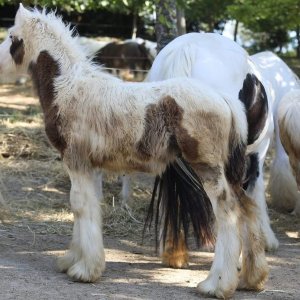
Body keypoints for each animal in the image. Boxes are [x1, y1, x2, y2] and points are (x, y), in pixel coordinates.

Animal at [0, 5, 268, 300]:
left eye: (11, 37)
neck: (69, 87)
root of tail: (225, 99)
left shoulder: (76, 161)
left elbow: (79, 205)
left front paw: (84, 271)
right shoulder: (89, 167)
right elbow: (88, 206)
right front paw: (73, 260)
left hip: (208, 167)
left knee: (227, 213)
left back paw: (217, 284)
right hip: (231, 171)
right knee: (247, 207)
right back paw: (252, 279)